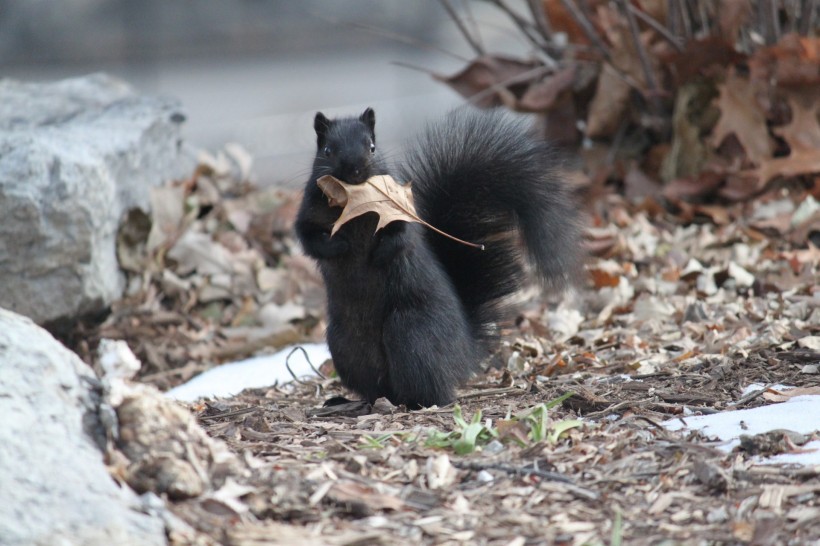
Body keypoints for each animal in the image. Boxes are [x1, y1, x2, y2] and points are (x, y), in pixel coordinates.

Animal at [298, 106, 580, 406]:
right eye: (327, 150)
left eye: (372, 147)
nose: (354, 170)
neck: (351, 200)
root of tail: (464, 351)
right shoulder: (309, 211)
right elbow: (309, 240)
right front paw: (339, 246)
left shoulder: (401, 214)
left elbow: (401, 238)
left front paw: (379, 254)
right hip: (345, 346)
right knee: (378, 385)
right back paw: (356, 401)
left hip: (412, 334)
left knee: (431, 387)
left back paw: (416, 402)